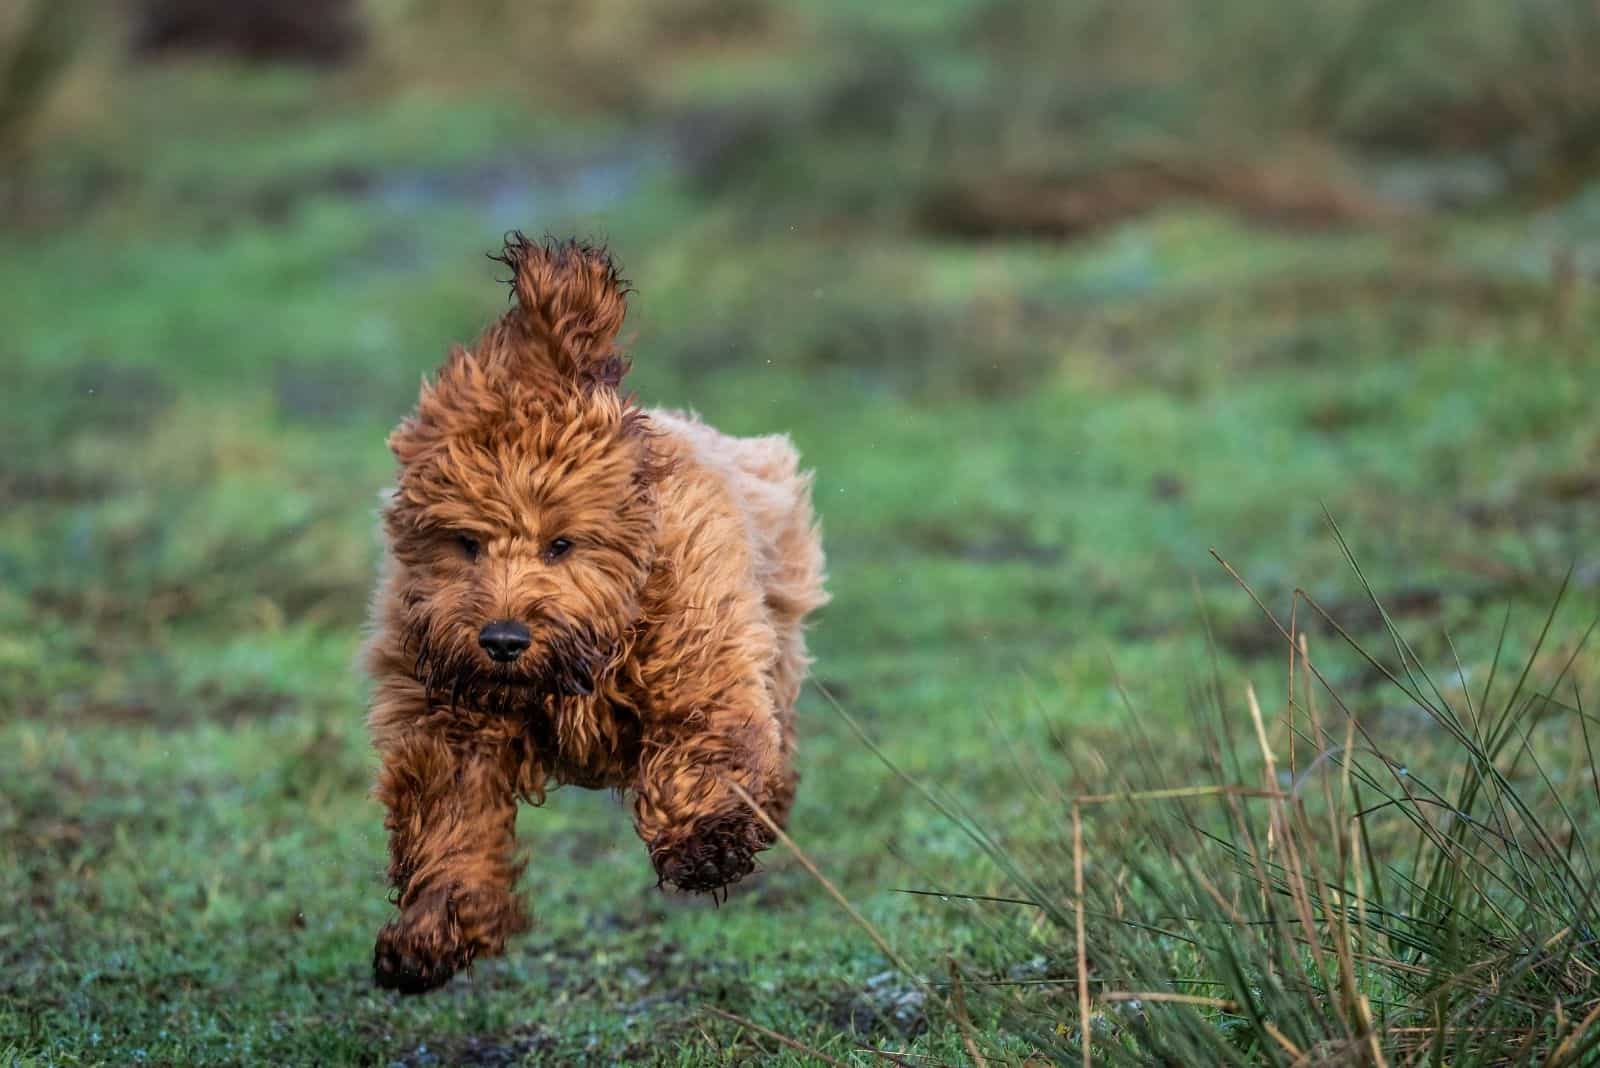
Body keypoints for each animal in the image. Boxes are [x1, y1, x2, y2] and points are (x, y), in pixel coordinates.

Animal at [364, 233, 832, 991]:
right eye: (465, 542)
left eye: (562, 542)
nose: (502, 639)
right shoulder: (444, 712)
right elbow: (449, 815)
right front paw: (430, 933)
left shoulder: (698, 647)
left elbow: (704, 740)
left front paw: (703, 844)